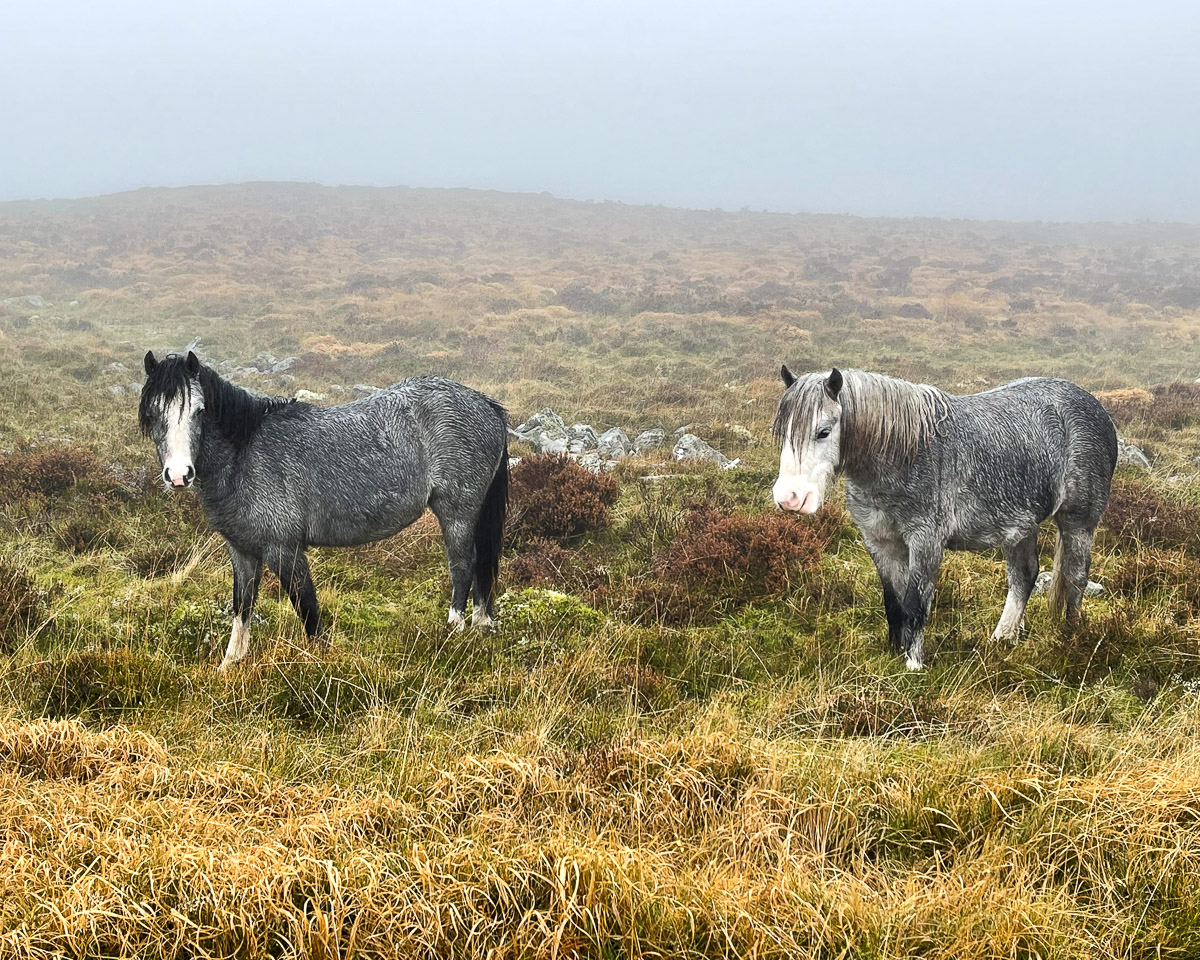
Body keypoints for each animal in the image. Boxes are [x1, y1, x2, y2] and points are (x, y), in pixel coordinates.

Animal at [139, 350, 509, 669]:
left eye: (199, 411)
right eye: (153, 414)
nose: (179, 475)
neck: (245, 454)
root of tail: (486, 404)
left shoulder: (284, 550)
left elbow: (308, 609)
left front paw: (320, 663)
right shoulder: (242, 551)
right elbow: (242, 606)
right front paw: (230, 665)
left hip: (457, 511)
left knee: (463, 565)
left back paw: (454, 631)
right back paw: (481, 626)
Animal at [771, 366, 1117, 669]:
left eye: (823, 432)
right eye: (782, 432)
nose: (790, 498)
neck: (904, 453)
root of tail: (1095, 406)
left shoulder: (925, 542)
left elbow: (915, 602)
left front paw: (913, 664)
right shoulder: (880, 543)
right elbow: (893, 603)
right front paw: (893, 654)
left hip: (1078, 522)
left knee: (1075, 579)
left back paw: (1070, 641)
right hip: (1021, 524)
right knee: (1024, 576)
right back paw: (1002, 639)